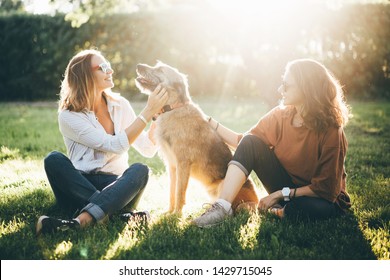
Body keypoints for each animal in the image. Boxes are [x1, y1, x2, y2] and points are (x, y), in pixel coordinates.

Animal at [135, 61, 258, 214]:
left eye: (160, 69)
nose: (138, 65)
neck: (173, 108)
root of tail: (257, 201)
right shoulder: (172, 166)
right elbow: (172, 191)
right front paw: (169, 212)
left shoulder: (183, 163)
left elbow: (180, 192)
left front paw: (176, 215)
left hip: (224, 186)